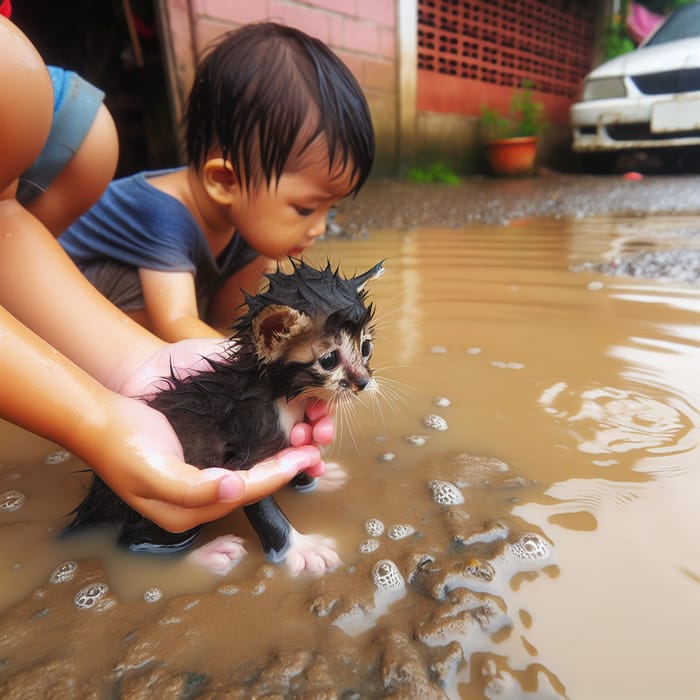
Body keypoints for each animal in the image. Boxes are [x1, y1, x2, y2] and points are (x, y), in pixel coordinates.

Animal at [64, 260, 382, 576]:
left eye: (366, 347)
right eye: (328, 360)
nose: (363, 382)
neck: (278, 393)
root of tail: (97, 500)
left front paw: (314, 478)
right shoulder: (248, 452)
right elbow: (263, 508)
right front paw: (302, 549)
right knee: (131, 542)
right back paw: (206, 554)